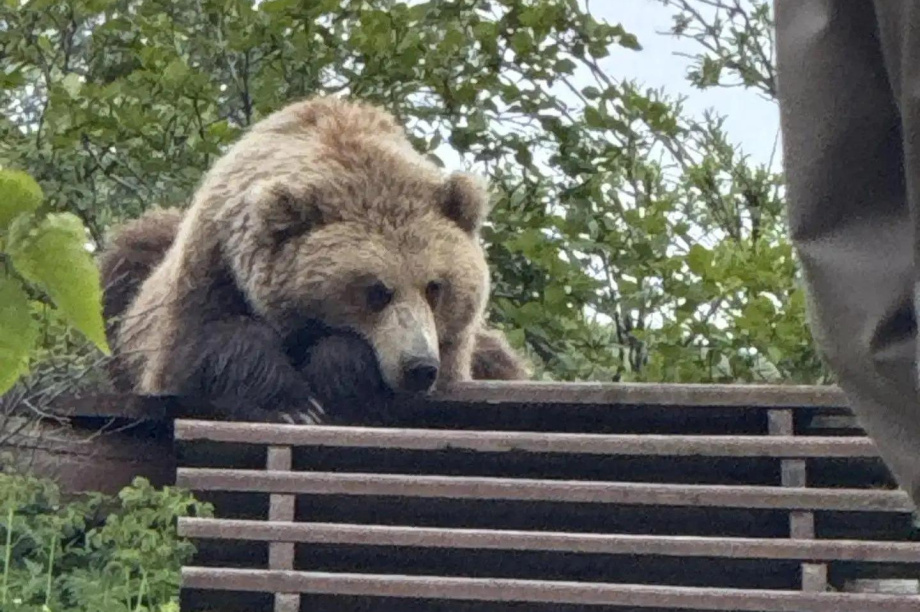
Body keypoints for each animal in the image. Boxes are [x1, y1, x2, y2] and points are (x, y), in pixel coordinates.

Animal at [98, 96, 530, 425]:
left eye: (435, 287)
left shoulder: (454, 352)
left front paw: (334, 376)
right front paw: (294, 406)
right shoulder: (211, 266)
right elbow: (200, 347)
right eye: (376, 291)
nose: (419, 367)